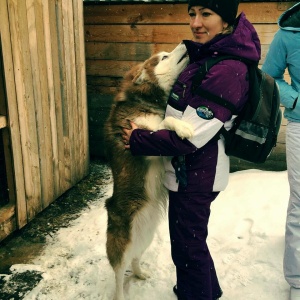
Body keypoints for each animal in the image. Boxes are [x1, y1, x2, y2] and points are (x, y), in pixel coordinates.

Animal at [103, 42, 192, 300]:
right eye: (163, 57)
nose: (185, 41)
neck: (144, 101)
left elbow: (163, 124)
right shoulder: (140, 145)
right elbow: (165, 123)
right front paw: (183, 126)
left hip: (145, 236)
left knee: (135, 259)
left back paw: (140, 273)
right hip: (122, 243)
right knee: (118, 272)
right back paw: (120, 295)